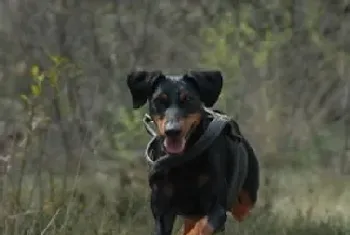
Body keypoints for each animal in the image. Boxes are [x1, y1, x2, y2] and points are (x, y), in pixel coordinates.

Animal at [127, 70, 258, 235]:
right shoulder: (161, 209)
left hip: (246, 198)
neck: (184, 159)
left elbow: (202, 227)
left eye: (188, 99)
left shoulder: (217, 208)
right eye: (159, 100)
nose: (172, 130)